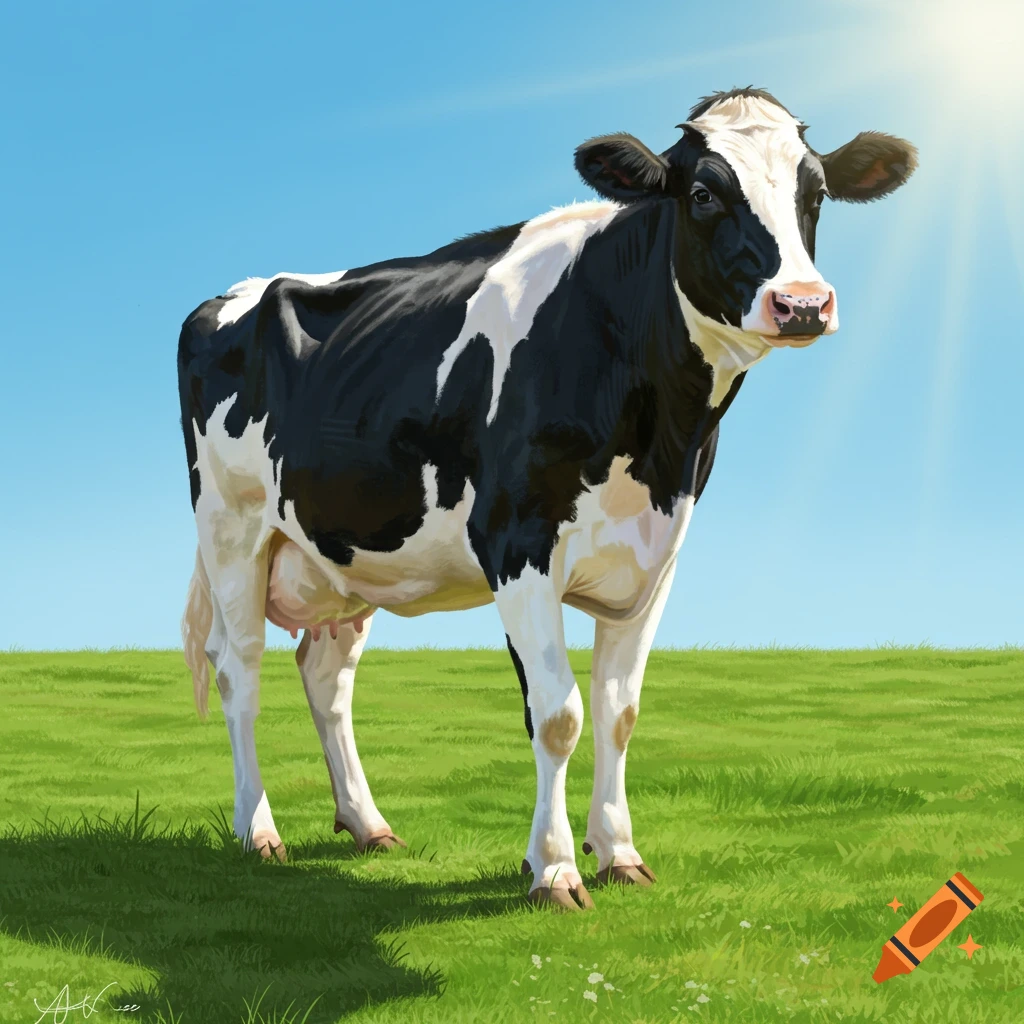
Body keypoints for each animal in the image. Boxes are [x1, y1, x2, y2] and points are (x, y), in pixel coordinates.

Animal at [178, 88, 916, 910]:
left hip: (343, 552)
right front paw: (556, 868)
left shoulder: (657, 555)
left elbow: (620, 711)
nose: (802, 303)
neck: (657, 437)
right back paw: (258, 830)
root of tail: (232, 294)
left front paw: (619, 852)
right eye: (702, 193)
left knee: (326, 675)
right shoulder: (517, 544)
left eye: (814, 194)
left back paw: (367, 824)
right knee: (239, 668)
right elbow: (558, 712)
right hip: (234, 530)